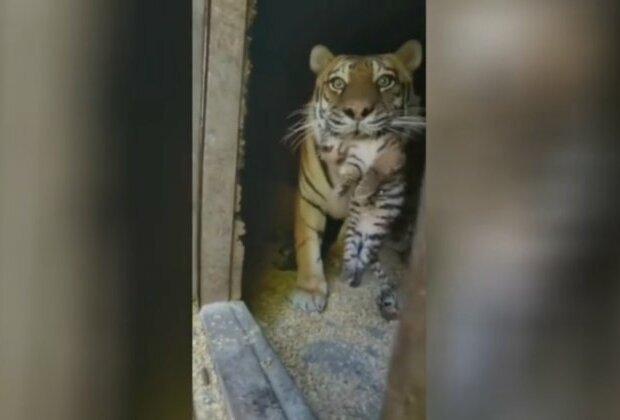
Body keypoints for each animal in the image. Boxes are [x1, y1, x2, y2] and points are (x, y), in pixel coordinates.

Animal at [284, 39, 424, 314]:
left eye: (384, 81)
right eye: (338, 83)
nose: (358, 110)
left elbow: (348, 232)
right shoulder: (308, 200)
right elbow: (307, 243)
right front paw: (309, 290)